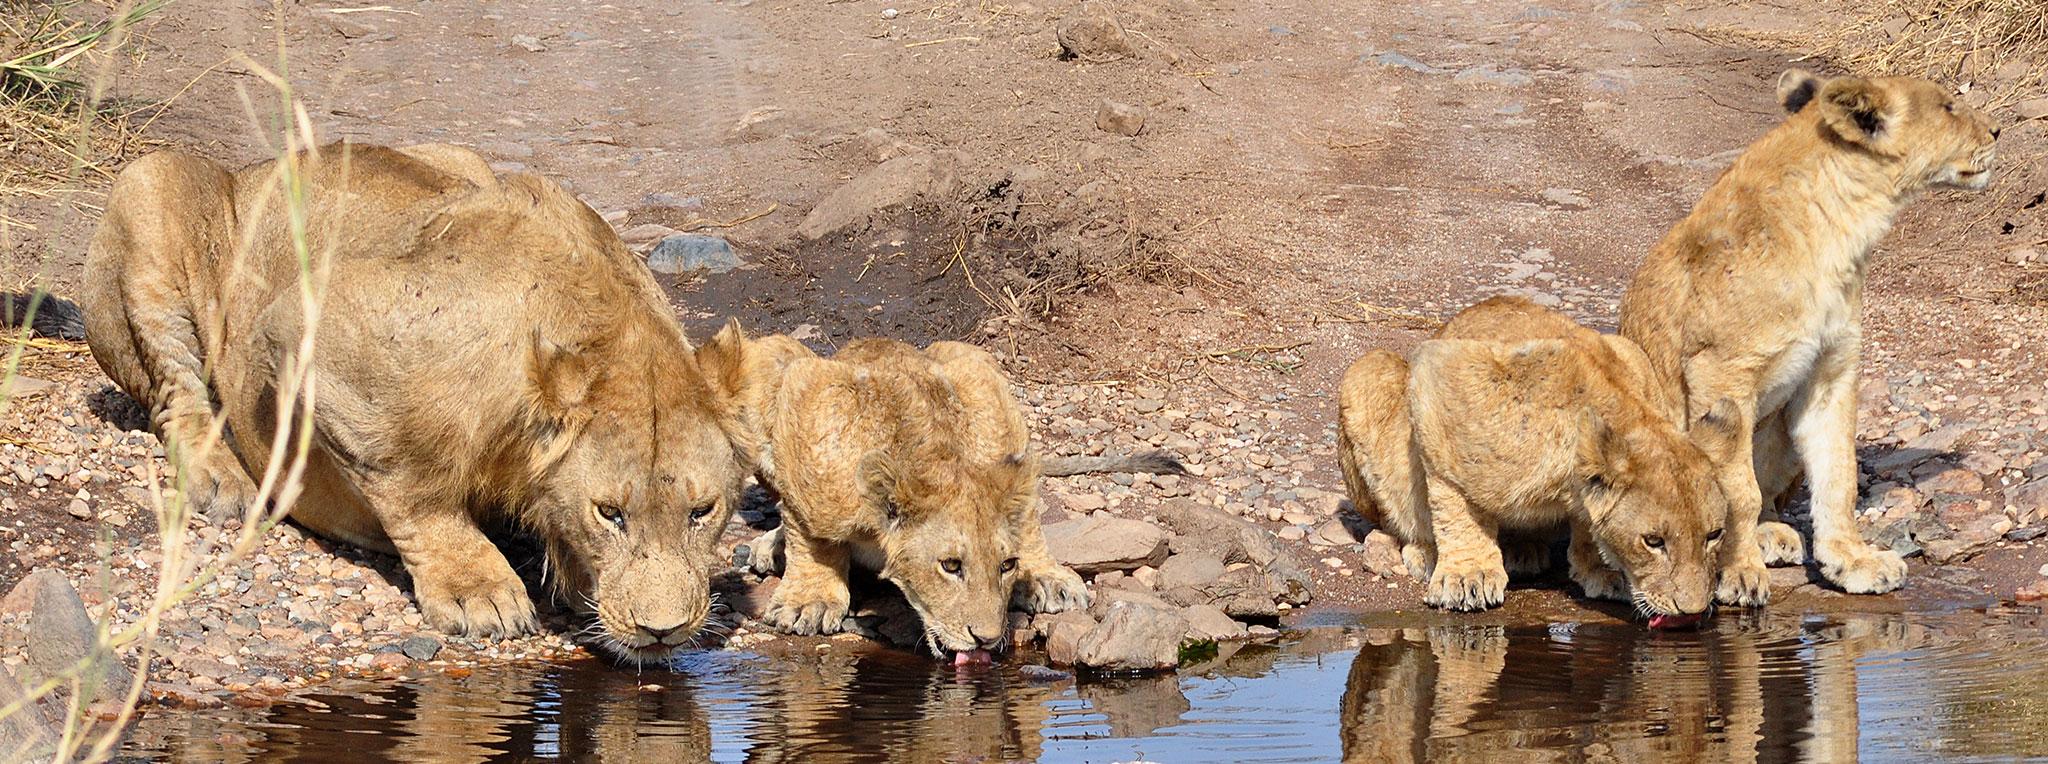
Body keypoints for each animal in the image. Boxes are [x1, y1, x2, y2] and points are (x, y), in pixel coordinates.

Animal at [77, 143, 751, 661]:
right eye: (609, 513)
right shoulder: (310, 327)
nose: (662, 631)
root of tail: (258, 168)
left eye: (703, 511)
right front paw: (478, 590)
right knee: (174, 390)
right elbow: (411, 483)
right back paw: (221, 478)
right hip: (152, 185)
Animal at [1337, 297, 1741, 619]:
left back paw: (1523, 548)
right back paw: (1426, 552)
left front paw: (1600, 569)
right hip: (1367, 370)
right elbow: (1452, 497)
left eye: (1714, 535)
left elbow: (1588, 521)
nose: (1692, 610)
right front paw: (1468, 575)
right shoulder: (1441, 373)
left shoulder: (1631, 358)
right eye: (1653, 541)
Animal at [1618, 70, 2000, 604]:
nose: (1997, 131)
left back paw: (1773, 533)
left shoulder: (1831, 370)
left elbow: (1838, 474)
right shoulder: (1719, 373)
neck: (1838, 229)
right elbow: (1735, 488)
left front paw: (1853, 561)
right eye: (1948, 107)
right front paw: (1738, 573)